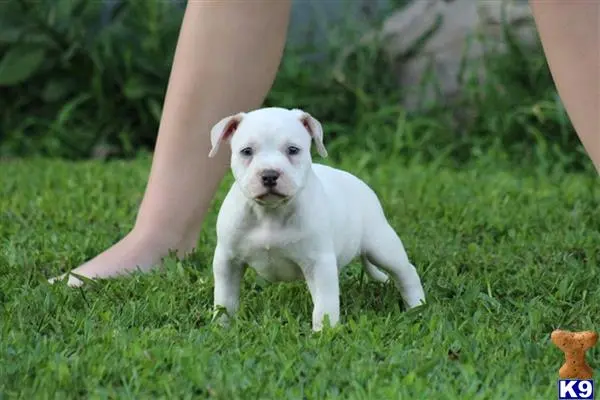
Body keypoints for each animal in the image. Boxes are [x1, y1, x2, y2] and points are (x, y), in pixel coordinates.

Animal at [209, 107, 424, 332]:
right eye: (246, 151)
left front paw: (324, 333)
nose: (269, 175)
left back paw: (417, 307)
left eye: (293, 150)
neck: (271, 212)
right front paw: (221, 326)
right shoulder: (228, 260)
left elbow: (324, 304)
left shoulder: (318, 263)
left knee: (406, 272)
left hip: (382, 246)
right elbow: (225, 298)